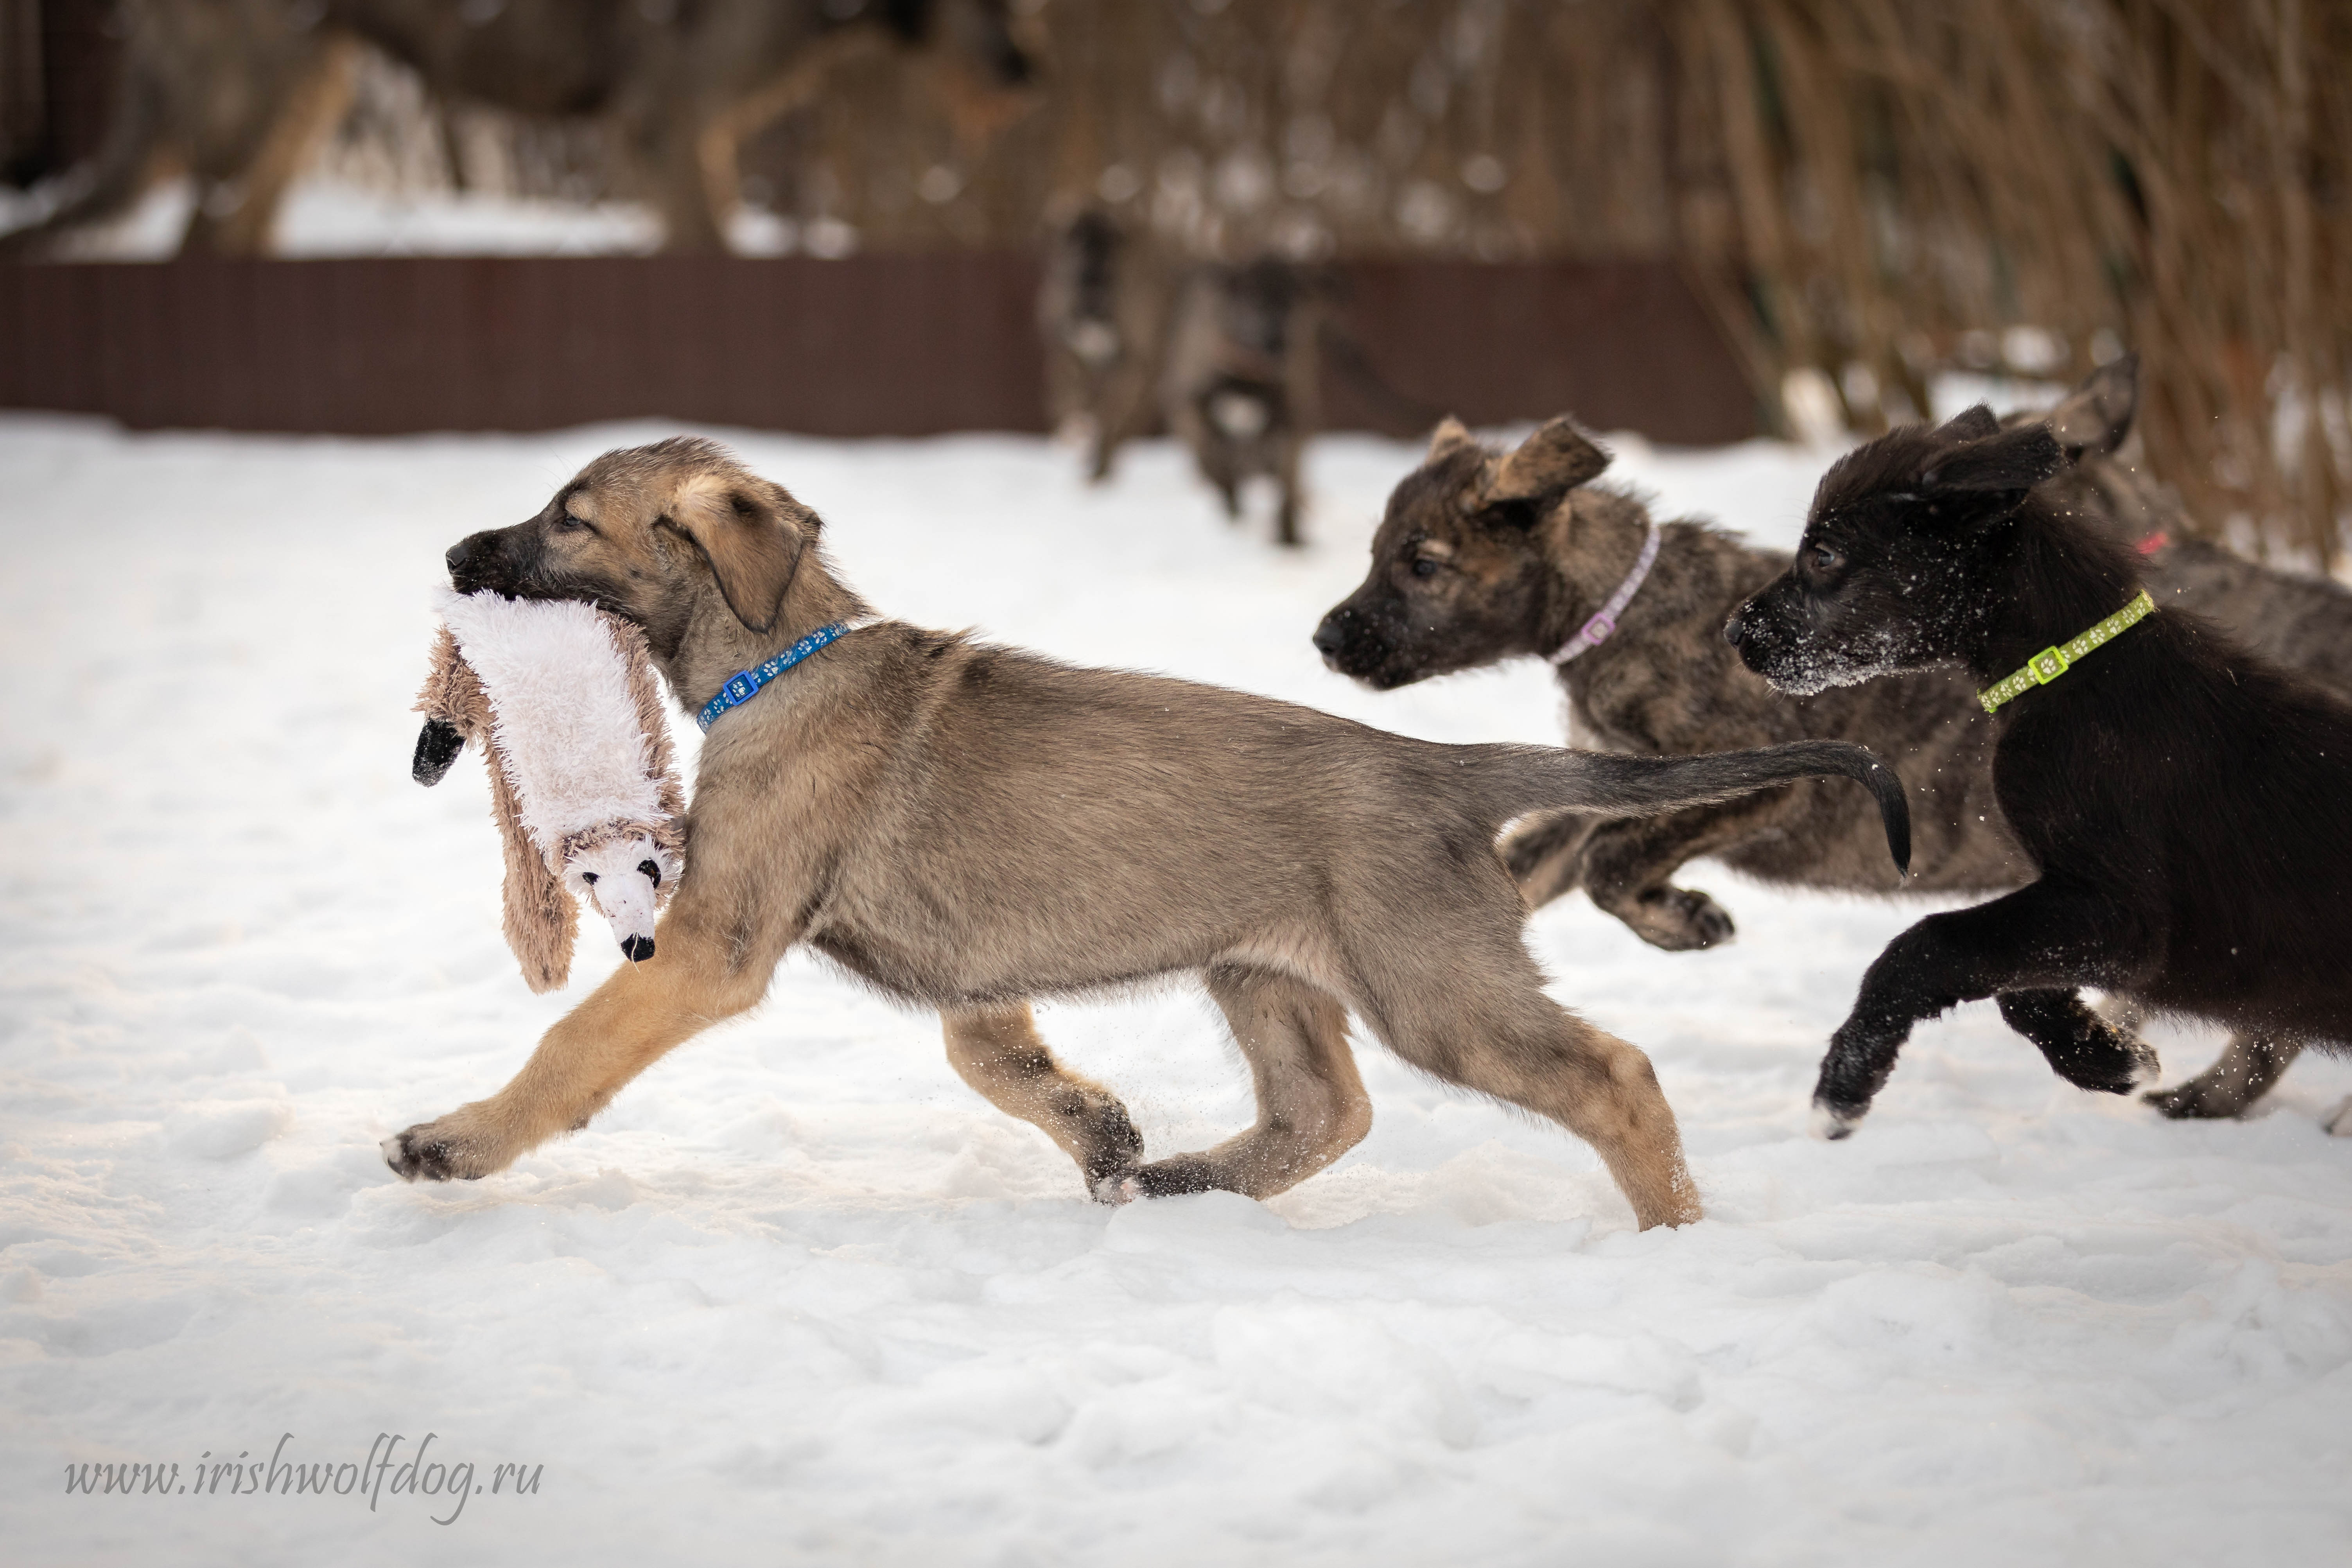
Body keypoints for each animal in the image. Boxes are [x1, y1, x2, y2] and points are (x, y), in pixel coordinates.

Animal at [371, 435, 1910, 1232]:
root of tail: (1436, 765)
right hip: (1266, 971)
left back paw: (1673, 1229)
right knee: (1323, 1111)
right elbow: (1004, 1068)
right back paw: (1184, 1179)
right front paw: (1104, 1133)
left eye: (572, 522)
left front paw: (454, 1143)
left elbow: (573, 1048)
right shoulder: (975, 983)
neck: (778, 659)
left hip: (1432, 987)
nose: (450, 556)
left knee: (1614, 1075)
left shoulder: (712, 946)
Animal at [1721, 411, 2352, 1133]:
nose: (1732, 631)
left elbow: (1929, 945)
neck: (2070, 670)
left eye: (1822, 557)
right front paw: (2107, 1057)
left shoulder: (2123, 915)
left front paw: (1846, 1081)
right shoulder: (2070, 910)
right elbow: (2013, 987)